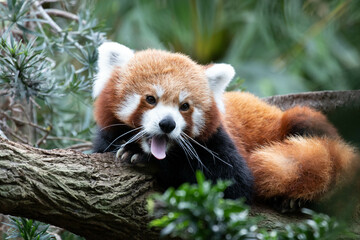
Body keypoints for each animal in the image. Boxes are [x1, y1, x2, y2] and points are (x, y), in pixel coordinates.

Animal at [93, 41, 358, 210]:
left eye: (185, 106)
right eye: (150, 99)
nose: (167, 124)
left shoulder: (220, 142)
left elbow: (234, 183)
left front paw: (144, 158)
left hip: (303, 124)